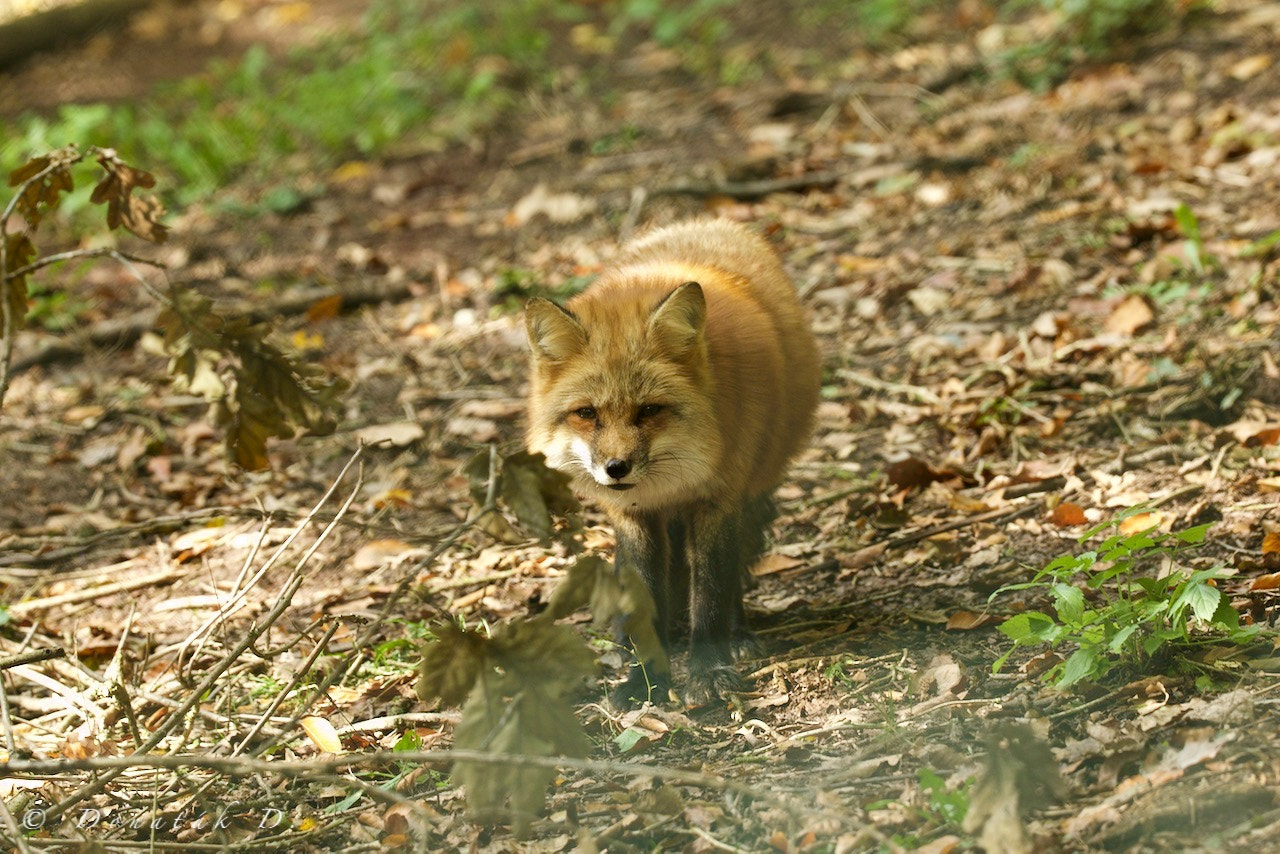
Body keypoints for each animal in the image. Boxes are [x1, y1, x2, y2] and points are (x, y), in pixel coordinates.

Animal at [527, 220, 819, 706]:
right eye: (587, 413)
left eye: (649, 410)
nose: (616, 468)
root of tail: (709, 223)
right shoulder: (632, 517)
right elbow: (645, 598)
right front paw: (643, 680)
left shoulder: (718, 500)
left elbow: (711, 594)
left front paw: (709, 672)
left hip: (752, 493)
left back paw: (739, 634)